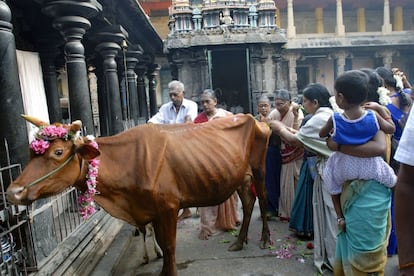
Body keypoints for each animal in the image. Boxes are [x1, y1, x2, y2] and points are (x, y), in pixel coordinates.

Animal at [7, 113, 272, 274]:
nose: (12, 192)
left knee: (263, 200)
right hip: (239, 177)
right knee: (248, 202)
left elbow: (169, 247)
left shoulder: (168, 208)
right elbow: (159, 243)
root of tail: (251, 117)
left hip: (259, 170)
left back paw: (265, 239)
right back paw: (239, 241)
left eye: (59, 152)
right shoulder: (150, 211)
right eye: (32, 152)